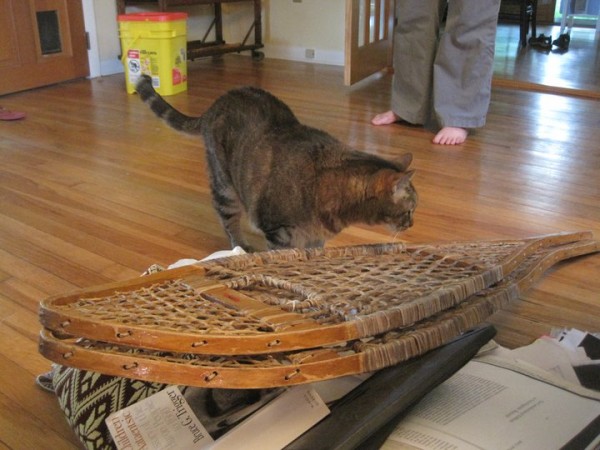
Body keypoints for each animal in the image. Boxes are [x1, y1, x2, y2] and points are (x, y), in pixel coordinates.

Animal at [136, 73, 418, 250]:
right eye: (409, 211)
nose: (412, 224)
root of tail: (216, 103)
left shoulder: (315, 238)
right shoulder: (278, 231)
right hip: (225, 188)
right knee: (229, 223)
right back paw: (241, 246)